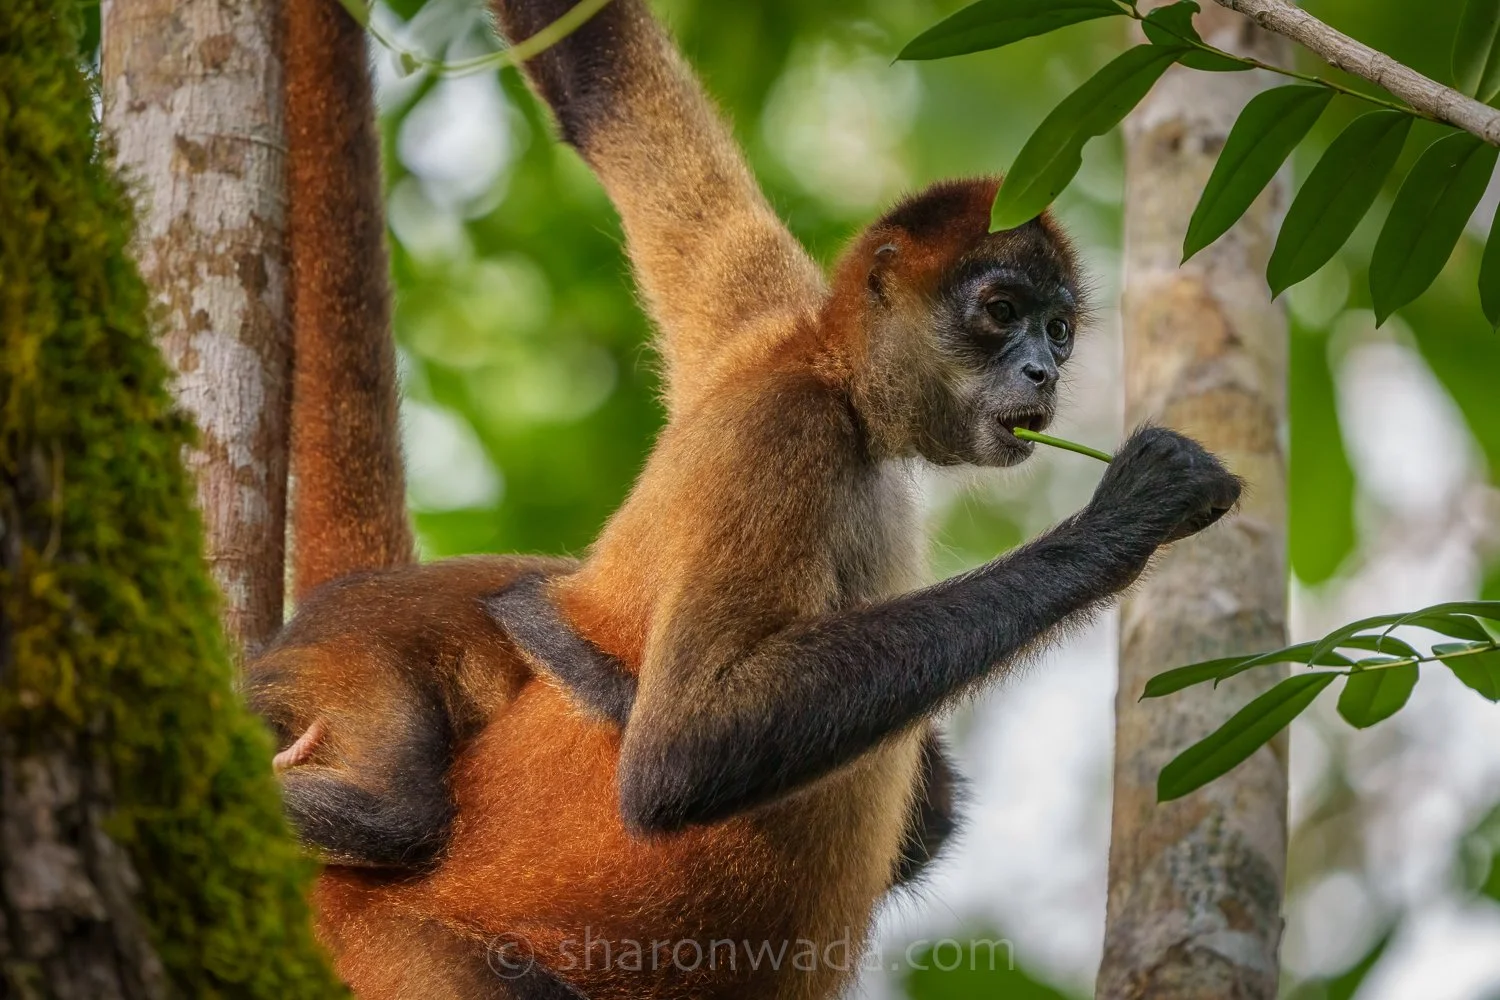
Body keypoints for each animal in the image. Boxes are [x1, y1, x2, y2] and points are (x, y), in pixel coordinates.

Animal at [248, 0, 1243, 997]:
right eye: (1001, 312)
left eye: (1060, 330)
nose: (1044, 369)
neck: (831, 380)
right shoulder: (782, 430)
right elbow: (680, 754)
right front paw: (1130, 516)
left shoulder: (758, 318)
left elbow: (597, 75)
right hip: (398, 938)